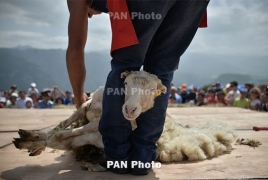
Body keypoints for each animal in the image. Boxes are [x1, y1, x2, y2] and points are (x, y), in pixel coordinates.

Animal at [13, 70, 237, 172]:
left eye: (152, 90)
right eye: (127, 83)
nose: (130, 109)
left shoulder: (97, 127)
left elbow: (64, 134)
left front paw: (41, 139)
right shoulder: (86, 106)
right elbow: (65, 123)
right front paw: (42, 137)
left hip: (98, 139)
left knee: (66, 141)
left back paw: (30, 140)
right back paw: (30, 139)